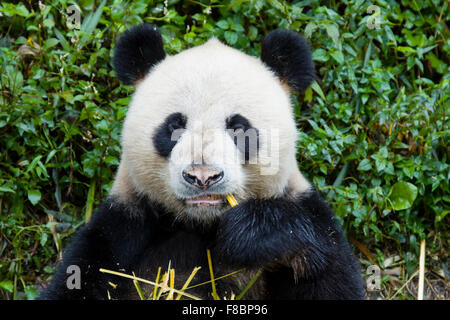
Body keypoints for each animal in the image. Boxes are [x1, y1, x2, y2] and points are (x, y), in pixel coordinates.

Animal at [40, 23, 366, 300]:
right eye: (174, 126)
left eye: (239, 128)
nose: (203, 176)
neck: (202, 226)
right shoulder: (121, 230)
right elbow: (78, 280)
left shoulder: (307, 214)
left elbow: (328, 275)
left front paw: (255, 232)